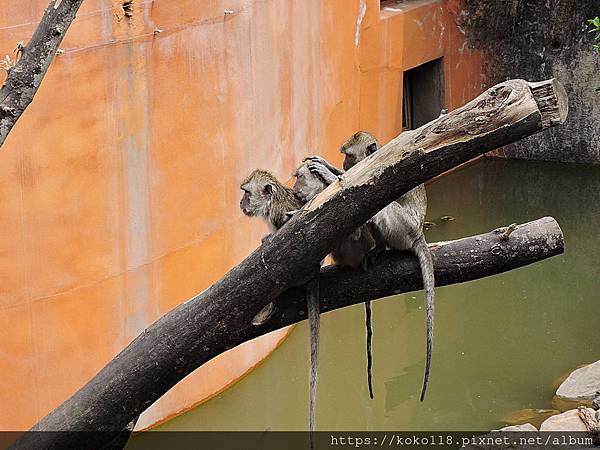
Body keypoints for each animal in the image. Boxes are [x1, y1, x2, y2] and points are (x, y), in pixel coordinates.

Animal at [308, 129, 434, 400]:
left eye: (347, 155)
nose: (344, 163)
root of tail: (418, 233)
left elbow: (361, 193)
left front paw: (331, 176)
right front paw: (328, 166)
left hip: (403, 229)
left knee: (379, 207)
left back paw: (381, 246)